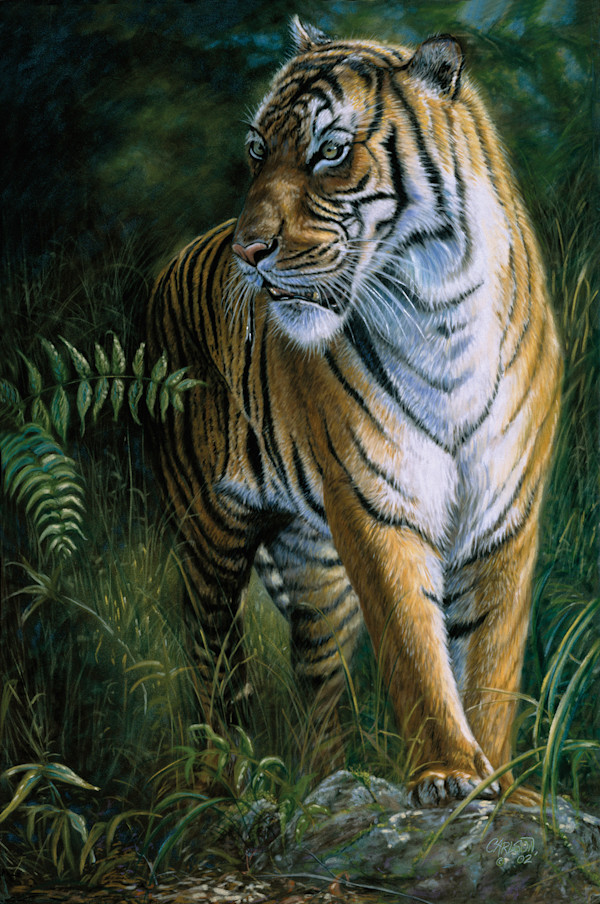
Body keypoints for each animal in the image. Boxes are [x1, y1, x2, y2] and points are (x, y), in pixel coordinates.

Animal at [147, 17, 562, 806]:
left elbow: (492, 664)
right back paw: (218, 778)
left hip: (319, 573)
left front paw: (505, 785)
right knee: (213, 662)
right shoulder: (377, 506)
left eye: (331, 151)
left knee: (321, 685)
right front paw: (449, 773)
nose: (249, 251)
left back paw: (325, 779)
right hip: (211, 532)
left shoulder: (506, 515)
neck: (440, 308)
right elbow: (415, 649)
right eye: (257, 150)